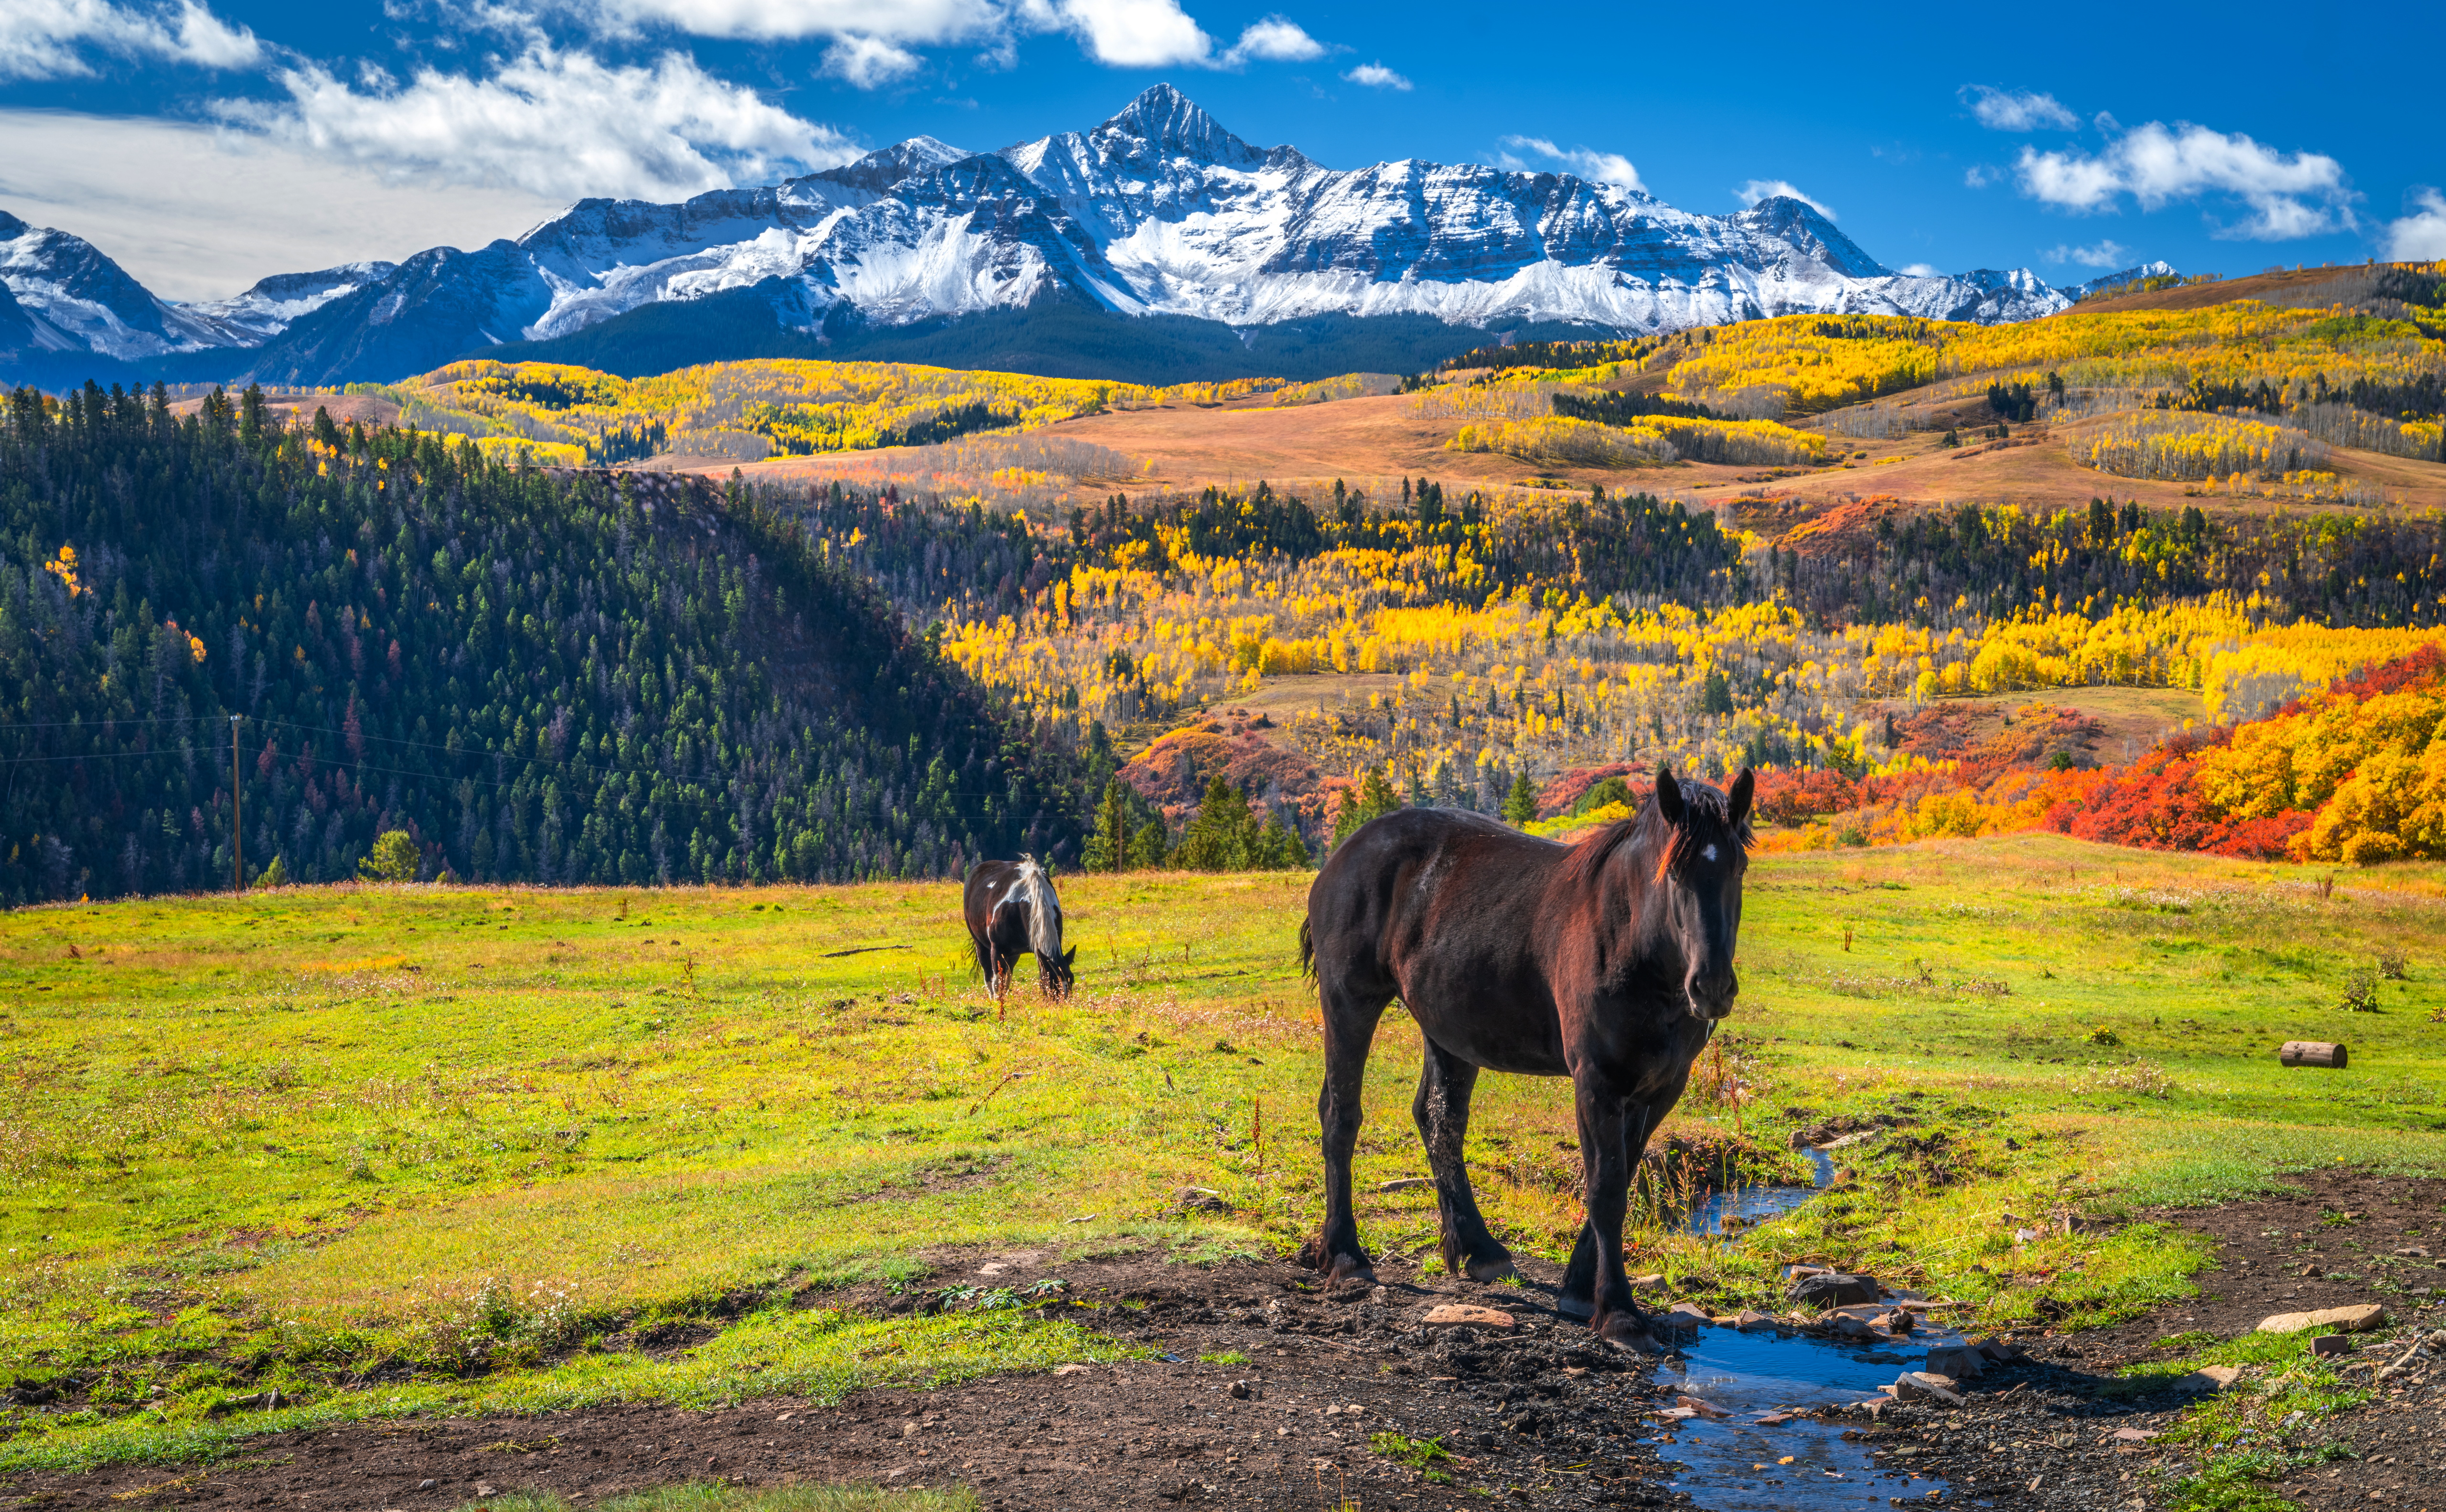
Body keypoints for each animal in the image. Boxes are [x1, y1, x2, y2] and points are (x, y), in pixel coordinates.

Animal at [959, 851, 1076, 993]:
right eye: (1050, 985)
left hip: (1013, 955)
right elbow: (997, 984)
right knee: (989, 978)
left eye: (1071, 981)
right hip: (981, 944)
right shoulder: (997, 950)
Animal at [1291, 763, 1751, 1340]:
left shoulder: (1662, 1087)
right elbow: (1605, 1190)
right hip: (1350, 1002)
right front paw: (1618, 1310)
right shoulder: (1596, 1081)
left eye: (1738, 867)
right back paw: (1347, 1257)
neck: (1632, 941)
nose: (1711, 987)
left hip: (1448, 1029)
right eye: (1674, 873)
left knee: (1439, 1121)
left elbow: (1622, 1176)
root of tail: (1344, 854)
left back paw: (1478, 1249)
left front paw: (1578, 1288)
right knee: (1340, 1115)